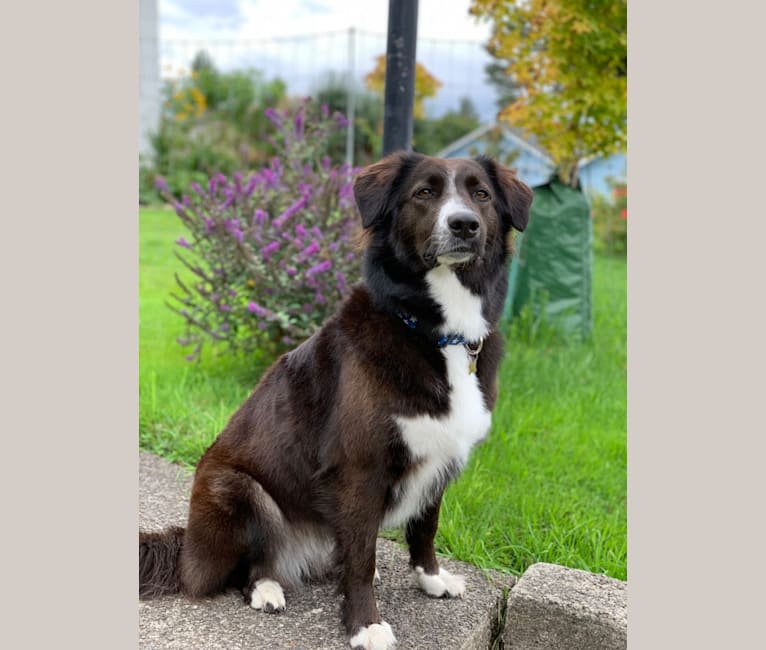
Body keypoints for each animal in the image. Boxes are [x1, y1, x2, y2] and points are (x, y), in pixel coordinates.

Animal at [140, 153, 536, 648]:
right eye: (424, 193)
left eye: (480, 193)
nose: (464, 224)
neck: (437, 334)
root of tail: (186, 546)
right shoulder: (361, 469)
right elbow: (363, 558)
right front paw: (365, 624)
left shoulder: (441, 458)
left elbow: (424, 527)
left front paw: (430, 579)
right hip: (238, 489)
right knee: (245, 567)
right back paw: (266, 587)